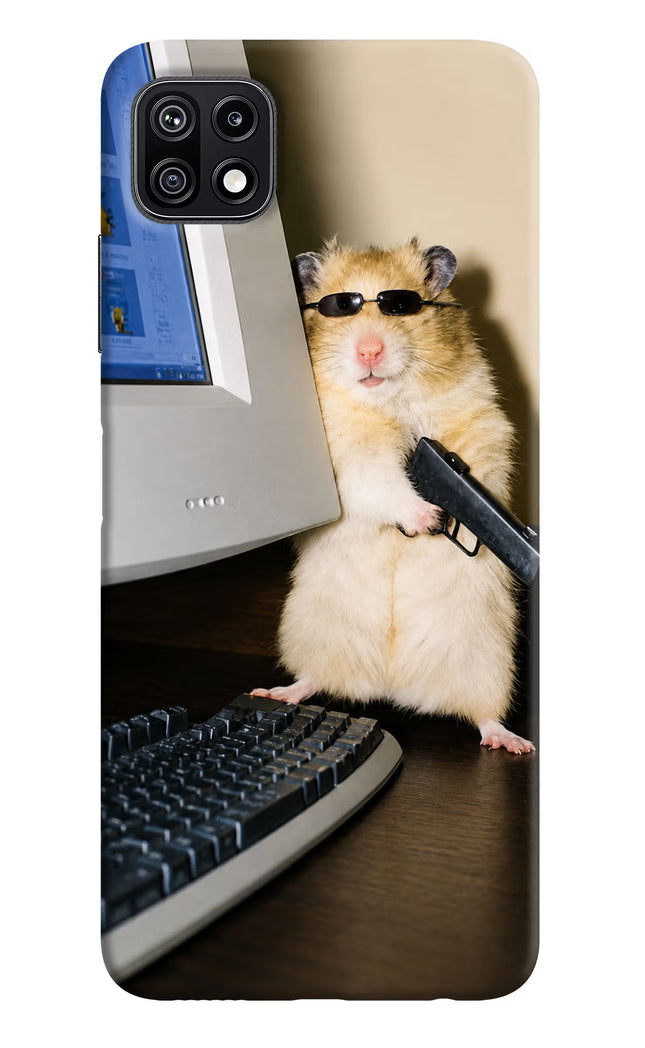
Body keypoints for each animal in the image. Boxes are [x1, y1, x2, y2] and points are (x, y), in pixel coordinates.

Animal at [252, 238, 534, 754]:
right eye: (340, 307)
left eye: (401, 306)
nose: (369, 350)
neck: (389, 401)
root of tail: (393, 686)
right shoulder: (348, 457)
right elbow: (380, 481)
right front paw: (428, 518)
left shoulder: (481, 424)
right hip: (311, 632)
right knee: (313, 679)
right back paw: (276, 692)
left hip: (488, 660)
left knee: (484, 714)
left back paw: (512, 742)